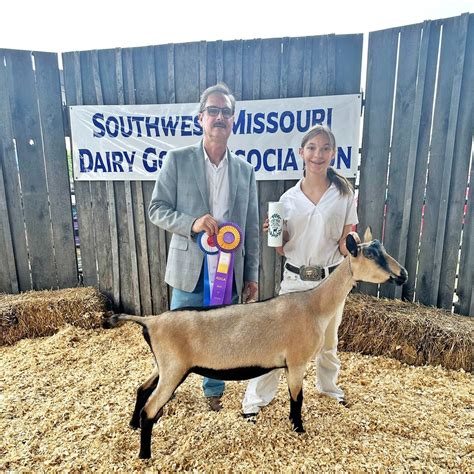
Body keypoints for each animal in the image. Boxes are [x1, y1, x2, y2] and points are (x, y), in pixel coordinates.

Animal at [108, 230, 408, 460]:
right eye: (371, 255)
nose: (403, 274)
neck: (314, 305)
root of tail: (151, 321)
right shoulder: (296, 362)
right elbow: (297, 398)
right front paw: (298, 428)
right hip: (173, 369)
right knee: (150, 408)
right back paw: (144, 455)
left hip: (164, 365)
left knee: (141, 389)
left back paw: (132, 425)